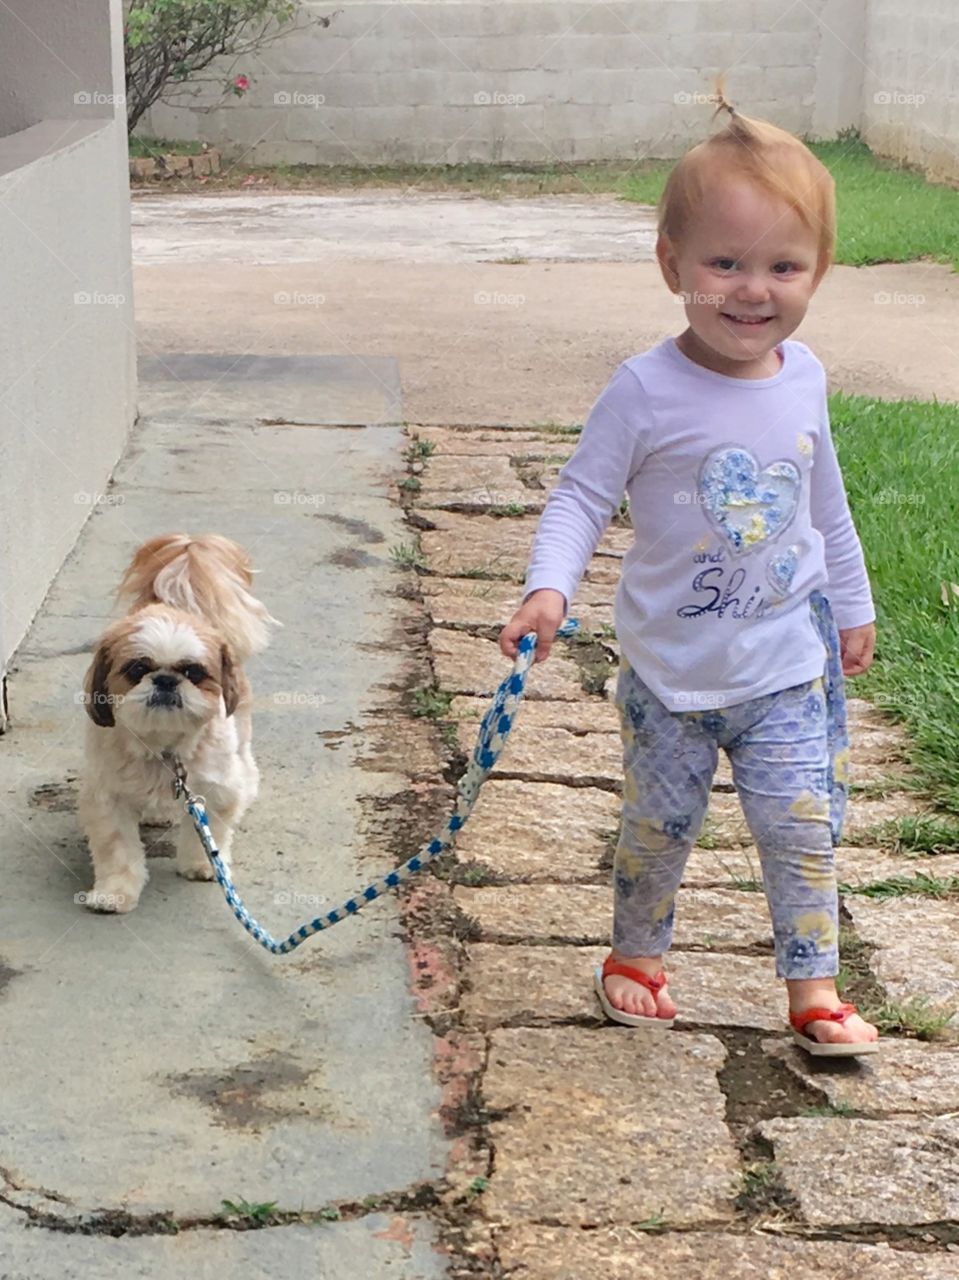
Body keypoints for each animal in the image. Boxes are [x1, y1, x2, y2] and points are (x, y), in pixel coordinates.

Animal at [78, 535, 276, 916]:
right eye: (137, 669)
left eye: (194, 672)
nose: (166, 680)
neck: (163, 747)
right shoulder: (108, 797)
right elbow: (117, 849)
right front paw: (115, 892)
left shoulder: (216, 788)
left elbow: (211, 832)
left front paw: (204, 864)